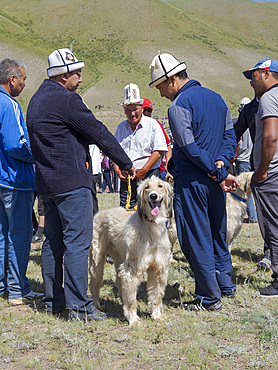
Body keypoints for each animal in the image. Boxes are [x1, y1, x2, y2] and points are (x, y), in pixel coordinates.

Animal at [90, 176, 174, 326]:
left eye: (160, 186)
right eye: (147, 187)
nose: (153, 196)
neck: (151, 228)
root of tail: (100, 213)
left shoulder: (158, 268)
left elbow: (156, 296)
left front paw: (156, 315)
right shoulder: (132, 269)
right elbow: (131, 300)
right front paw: (133, 319)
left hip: (119, 257)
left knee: (119, 282)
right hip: (97, 259)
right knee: (95, 284)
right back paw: (96, 305)